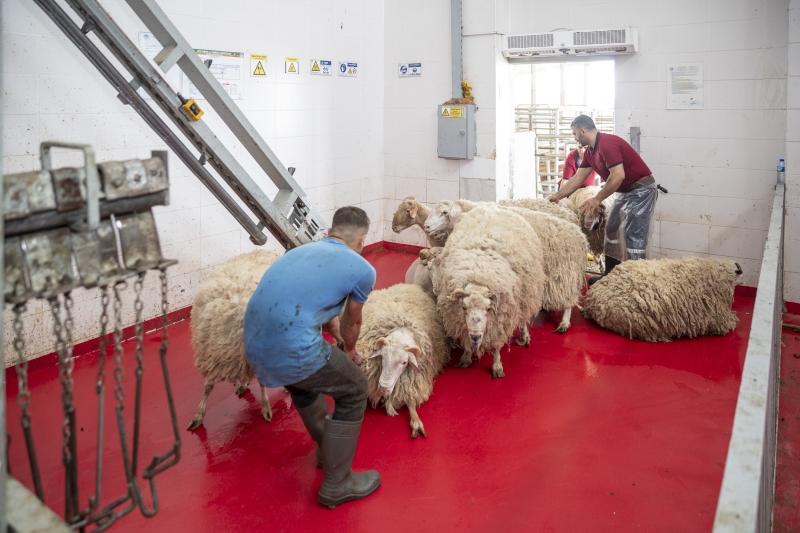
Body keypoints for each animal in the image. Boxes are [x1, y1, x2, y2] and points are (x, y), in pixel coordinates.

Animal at [187, 248, 280, 428]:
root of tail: (266, 251)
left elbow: (262, 383)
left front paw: (266, 407)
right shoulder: (213, 355)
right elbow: (208, 386)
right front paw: (198, 415)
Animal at [358, 282, 450, 436]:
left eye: (404, 362)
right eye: (382, 357)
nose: (384, 390)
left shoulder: (413, 382)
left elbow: (411, 402)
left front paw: (416, 422)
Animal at [434, 205, 548, 378]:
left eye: (488, 309)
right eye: (464, 307)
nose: (475, 337)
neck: (478, 275)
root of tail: (494, 206)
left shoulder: (501, 320)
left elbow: (496, 346)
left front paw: (497, 366)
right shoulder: (461, 321)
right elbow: (466, 341)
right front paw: (466, 357)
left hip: (527, 296)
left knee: (524, 319)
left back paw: (524, 336)